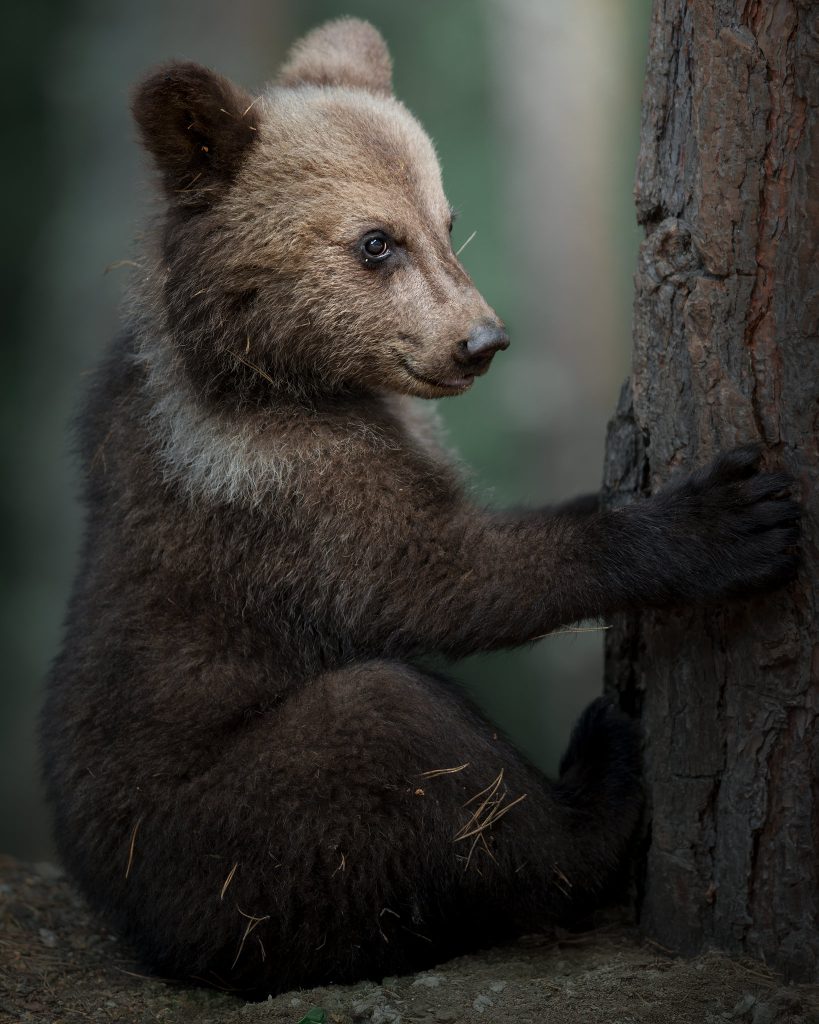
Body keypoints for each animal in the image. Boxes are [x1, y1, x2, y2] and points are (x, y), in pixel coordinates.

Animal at [41, 18, 800, 998]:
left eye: (443, 222)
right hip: (226, 844)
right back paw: (597, 774)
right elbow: (441, 574)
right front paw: (727, 518)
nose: (481, 340)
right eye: (375, 241)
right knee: (391, 727)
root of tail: (138, 929)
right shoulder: (274, 479)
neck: (273, 372)